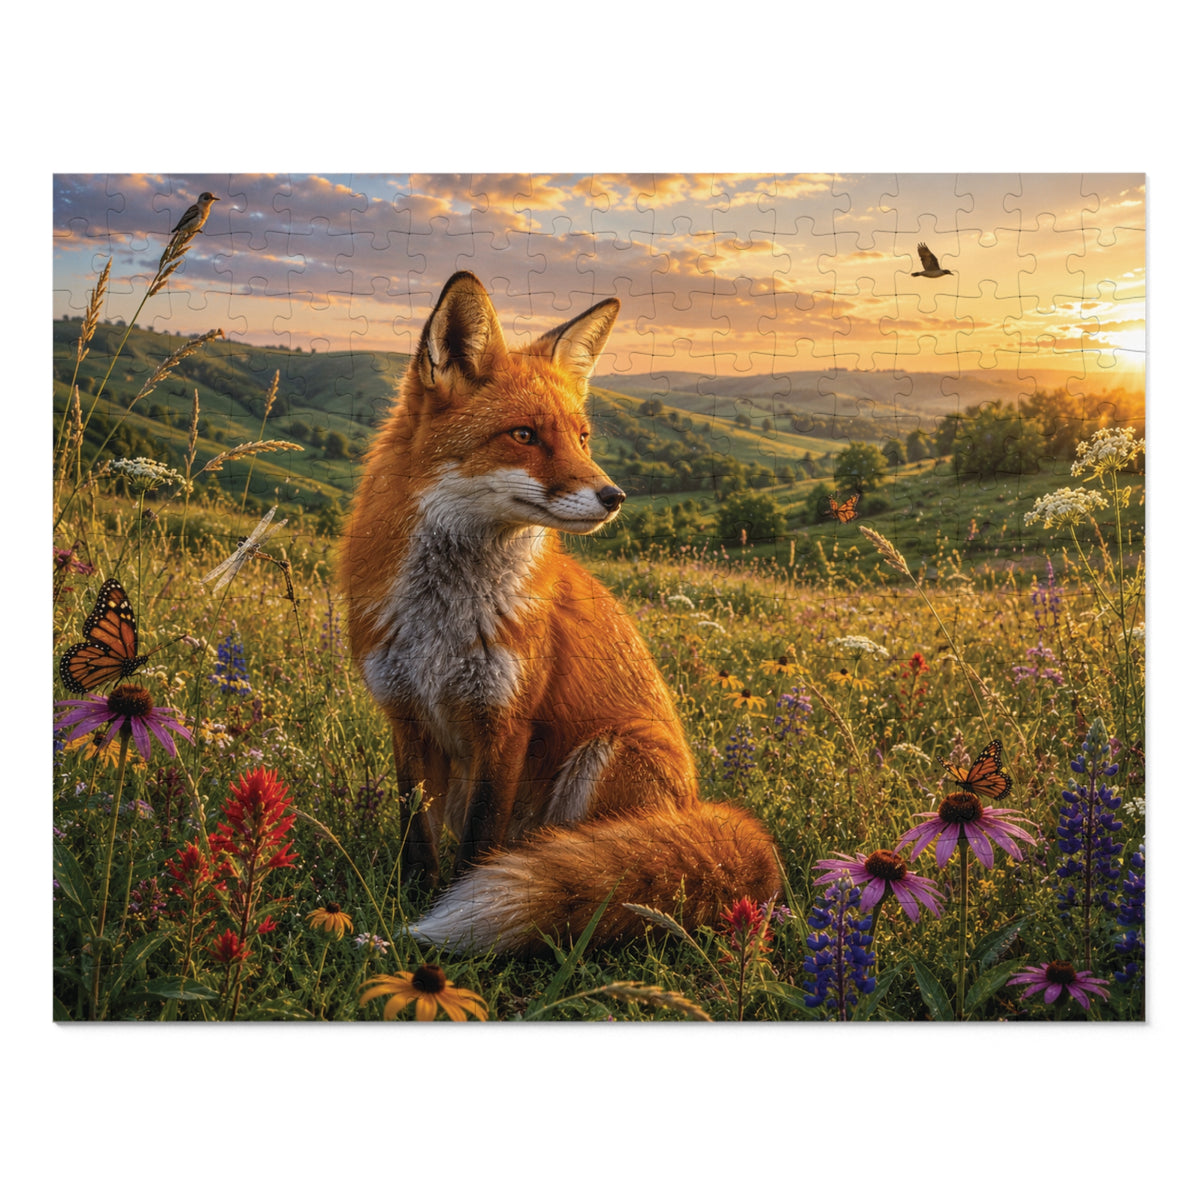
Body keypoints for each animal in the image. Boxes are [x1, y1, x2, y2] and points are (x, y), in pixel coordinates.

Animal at [340, 271, 781, 955]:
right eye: (524, 435)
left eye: (582, 437)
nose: (615, 496)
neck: (442, 619)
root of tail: (696, 808)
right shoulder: (405, 714)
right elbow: (417, 839)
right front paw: (402, 906)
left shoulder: (505, 720)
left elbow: (477, 847)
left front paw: (447, 912)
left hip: (609, 754)